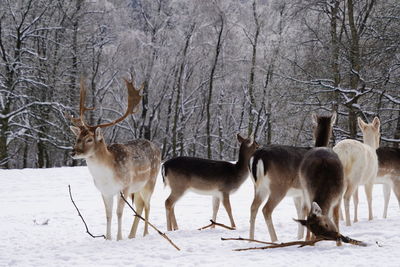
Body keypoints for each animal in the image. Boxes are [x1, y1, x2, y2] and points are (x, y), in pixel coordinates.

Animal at [69, 78, 161, 242]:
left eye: (89, 139)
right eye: (77, 137)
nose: (73, 152)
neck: (107, 175)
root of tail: (157, 147)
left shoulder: (124, 186)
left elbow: (119, 212)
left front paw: (118, 238)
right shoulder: (104, 190)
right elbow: (108, 214)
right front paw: (108, 238)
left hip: (151, 180)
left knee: (148, 205)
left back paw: (145, 233)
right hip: (137, 188)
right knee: (140, 206)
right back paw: (131, 235)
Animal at [296, 112, 344, 244]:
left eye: (313, 126)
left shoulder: (305, 192)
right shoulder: (339, 198)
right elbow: (336, 218)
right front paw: (339, 243)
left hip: (306, 189)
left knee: (307, 209)